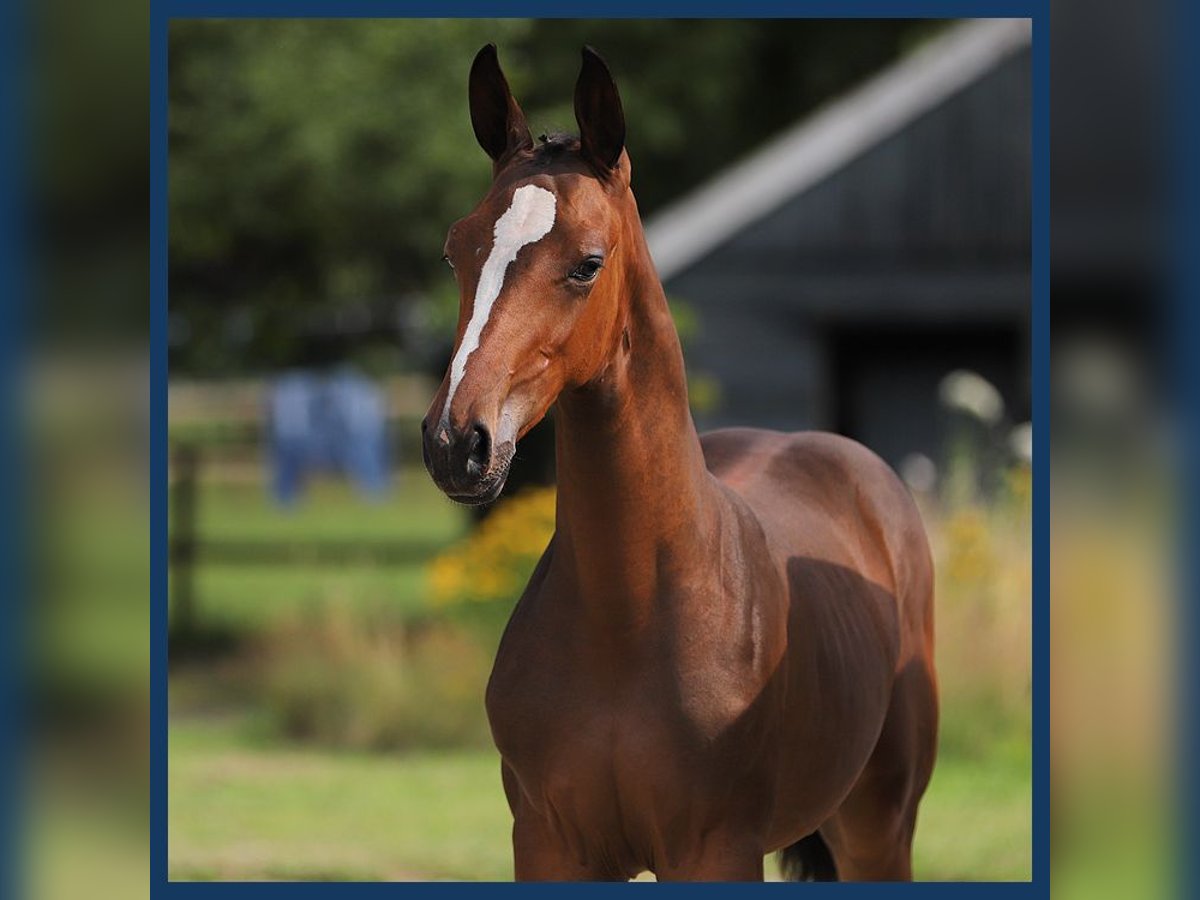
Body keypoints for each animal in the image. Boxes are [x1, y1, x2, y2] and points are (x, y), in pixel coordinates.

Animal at [422, 45, 936, 883]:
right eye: (457, 250)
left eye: (587, 264)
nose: (455, 443)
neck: (627, 620)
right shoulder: (550, 844)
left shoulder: (715, 848)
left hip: (879, 826)